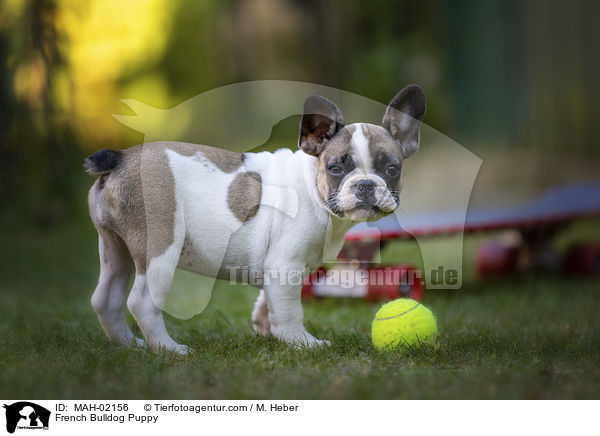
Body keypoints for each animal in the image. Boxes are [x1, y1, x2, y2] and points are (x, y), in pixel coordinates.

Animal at [85, 85, 426, 354]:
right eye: (335, 169)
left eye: (392, 169)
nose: (365, 185)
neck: (312, 187)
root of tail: (120, 158)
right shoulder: (284, 265)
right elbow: (290, 310)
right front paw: (302, 342)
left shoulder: (278, 269)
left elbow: (269, 300)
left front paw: (266, 327)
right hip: (159, 247)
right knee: (141, 302)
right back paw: (168, 349)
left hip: (114, 247)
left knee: (105, 299)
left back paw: (130, 346)